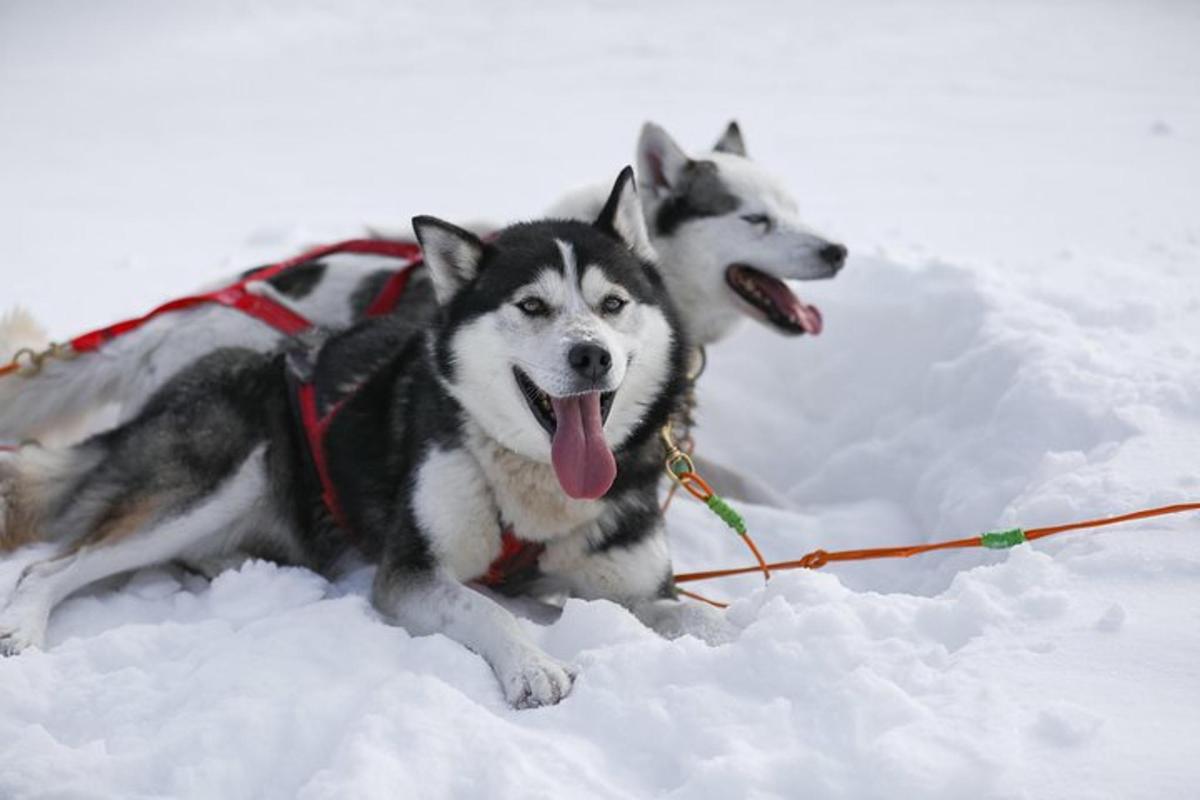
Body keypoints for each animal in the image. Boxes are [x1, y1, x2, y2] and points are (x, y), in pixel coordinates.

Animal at [0, 172, 724, 710]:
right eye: (532, 306)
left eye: (613, 304)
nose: (591, 356)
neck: (532, 486)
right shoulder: (410, 572)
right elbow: (487, 609)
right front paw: (532, 664)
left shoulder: (638, 589)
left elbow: (695, 616)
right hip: (221, 481)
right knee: (48, 567)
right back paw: (23, 624)